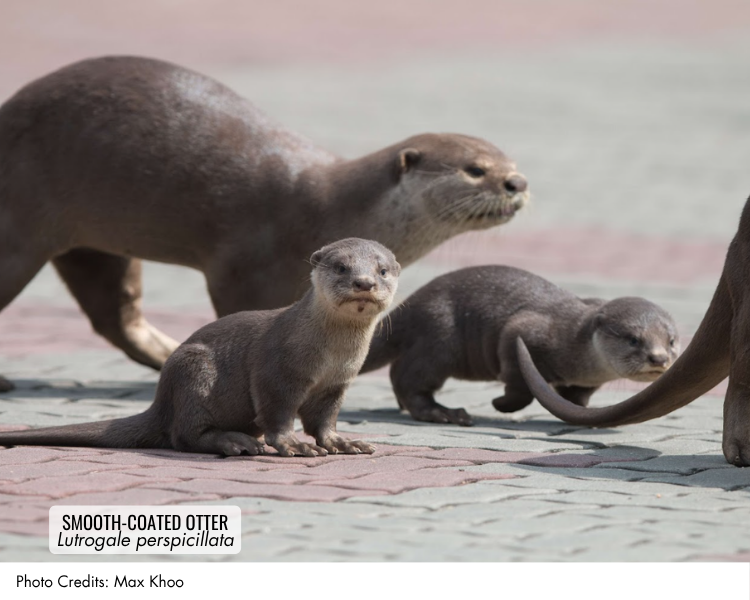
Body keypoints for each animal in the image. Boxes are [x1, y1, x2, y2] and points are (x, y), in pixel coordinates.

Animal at [0, 55, 528, 391]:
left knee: (114, 314)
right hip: (19, 226)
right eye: (475, 169)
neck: (328, 209)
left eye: (508, 160)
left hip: (96, 246)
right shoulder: (243, 266)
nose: (517, 181)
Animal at [0, 238, 400, 457]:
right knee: (183, 435)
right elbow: (279, 416)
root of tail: (162, 399)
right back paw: (233, 442)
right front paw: (294, 445)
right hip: (194, 371)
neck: (330, 355)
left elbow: (324, 420)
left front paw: (342, 443)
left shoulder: (336, 384)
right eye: (341, 266)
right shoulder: (276, 373)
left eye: (382, 270)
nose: (364, 283)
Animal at [360, 266, 679, 426]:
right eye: (633, 339)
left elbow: (579, 395)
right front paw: (501, 405)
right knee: (410, 378)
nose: (659, 358)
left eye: (672, 340)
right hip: (439, 336)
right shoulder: (524, 331)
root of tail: (409, 306)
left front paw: (575, 407)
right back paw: (444, 413)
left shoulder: (586, 380)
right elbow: (520, 385)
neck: (573, 341)